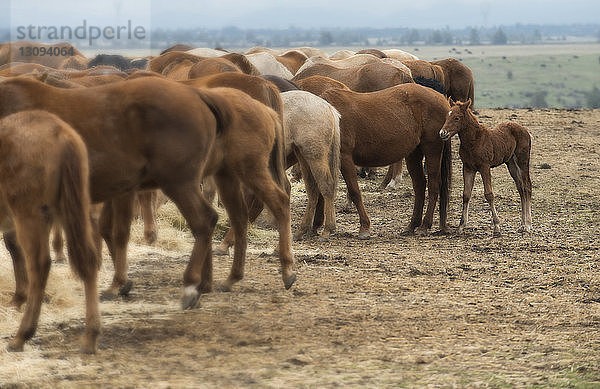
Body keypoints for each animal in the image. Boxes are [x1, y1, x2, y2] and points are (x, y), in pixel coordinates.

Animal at [0, 76, 296, 312]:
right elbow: (113, 233)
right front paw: (120, 282)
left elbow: (19, 247)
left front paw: (21, 296)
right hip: (225, 176)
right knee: (236, 217)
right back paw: (227, 278)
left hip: (190, 181)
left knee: (221, 217)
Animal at [0, 108, 99, 352]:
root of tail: (60, 133)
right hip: (71, 212)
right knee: (89, 260)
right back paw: (90, 337)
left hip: (31, 218)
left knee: (39, 265)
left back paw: (21, 336)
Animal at [318, 83, 450, 238]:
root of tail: (441, 98)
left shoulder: (345, 158)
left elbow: (354, 191)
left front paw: (364, 227)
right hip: (414, 153)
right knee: (420, 185)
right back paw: (412, 225)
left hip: (432, 149)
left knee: (434, 185)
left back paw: (424, 226)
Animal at [438, 98, 532, 235]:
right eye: (446, 116)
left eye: (456, 118)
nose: (442, 133)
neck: (474, 141)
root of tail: (526, 132)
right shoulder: (468, 168)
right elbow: (466, 194)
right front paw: (461, 226)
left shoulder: (484, 167)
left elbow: (489, 194)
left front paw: (497, 226)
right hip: (511, 164)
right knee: (521, 188)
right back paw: (523, 224)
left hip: (522, 161)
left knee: (527, 186)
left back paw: (528, 224)